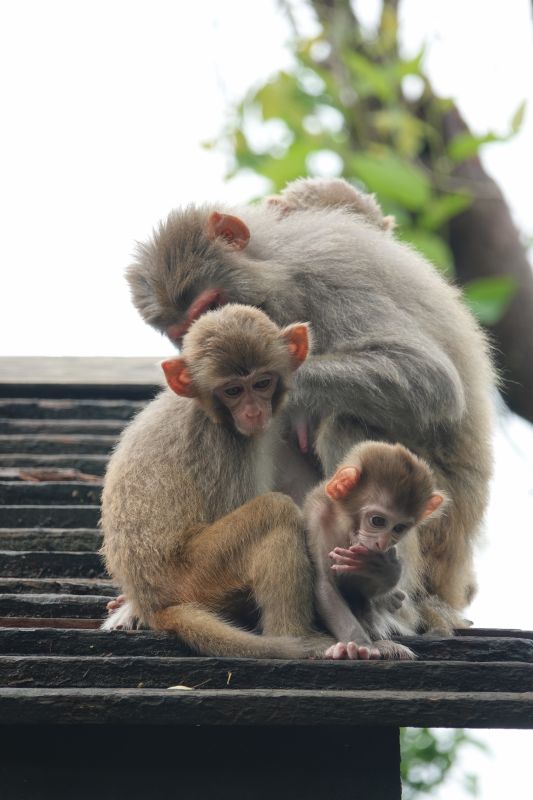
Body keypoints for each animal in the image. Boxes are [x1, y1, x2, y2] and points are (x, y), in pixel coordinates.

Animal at [101, 304, 332, 659]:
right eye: (233, 390)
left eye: (262, 383)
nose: (253, 412)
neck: (207, 410)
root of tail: (154, 605)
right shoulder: (226, 445)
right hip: (195, 577)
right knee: (276, 511)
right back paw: (298, 637)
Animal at [125, 179, 495, 636]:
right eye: (186, 330)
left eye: (211, 305)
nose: (209, 341)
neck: (272, 263)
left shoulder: (323, 276)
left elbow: (431, 377)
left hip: (440, 520)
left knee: (346, 427)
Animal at [304, 441, 446, 660]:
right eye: (378, 521)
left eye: (399, 528)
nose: (382, 543)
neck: (347, 527)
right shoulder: (318, 518)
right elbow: (325, 584)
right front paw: (359, 644)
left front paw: (380, 570)